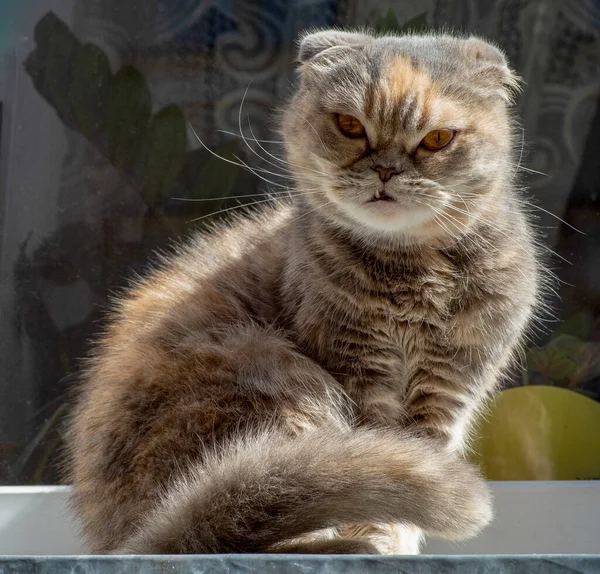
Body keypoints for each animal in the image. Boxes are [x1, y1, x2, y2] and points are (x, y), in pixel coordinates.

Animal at [68, 29, 540, 556]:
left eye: (438, 138)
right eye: (350, 125)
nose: (386, 169)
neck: (410, 277)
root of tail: (130, 541)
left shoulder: (448, 388)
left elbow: (414, 467)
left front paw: (396, 545)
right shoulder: (359, 376)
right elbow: (383, 481)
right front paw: (382, 543)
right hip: (280, 381)